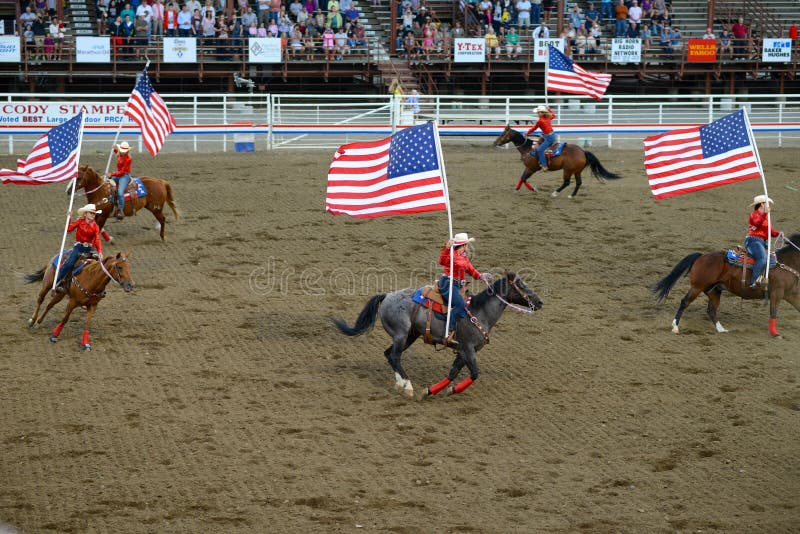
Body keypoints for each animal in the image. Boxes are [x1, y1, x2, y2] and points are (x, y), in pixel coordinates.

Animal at [332, 274, 544, 400]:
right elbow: (475, 373)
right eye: (521, 285)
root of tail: (388, 295)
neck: (480, 311)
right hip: (401, 334)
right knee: (394, 356)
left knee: (389, 355)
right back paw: (408, 386)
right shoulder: (468, 349)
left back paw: (400, 383)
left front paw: (438, 390)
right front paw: (438, 390)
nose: (540, 302)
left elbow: (452, 373)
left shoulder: (463, 352)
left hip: (410, 336)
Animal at [490, 125, 620, 199]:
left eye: (503, 133)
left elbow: (524, 178)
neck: (528, 148)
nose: (495, 142)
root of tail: (583, 152)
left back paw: (554, 193)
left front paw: (533, 189)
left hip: (567, 170)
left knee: (567, 182)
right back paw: (571, 195)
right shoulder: (528, 168)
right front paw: (517, 189)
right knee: (578, 182)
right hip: (577, 171)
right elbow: (522, 178)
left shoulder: (532, 168)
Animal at [648, 232, 800, 338]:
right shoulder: (777, 293)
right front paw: (775, 333)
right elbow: (773, 312)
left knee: (711, 310)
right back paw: (675, 327)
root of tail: (701, 256)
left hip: (714, 290)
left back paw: (721, 329)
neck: (786, 264)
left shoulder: (791, 294)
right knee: (685, 302)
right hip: (697, 287)